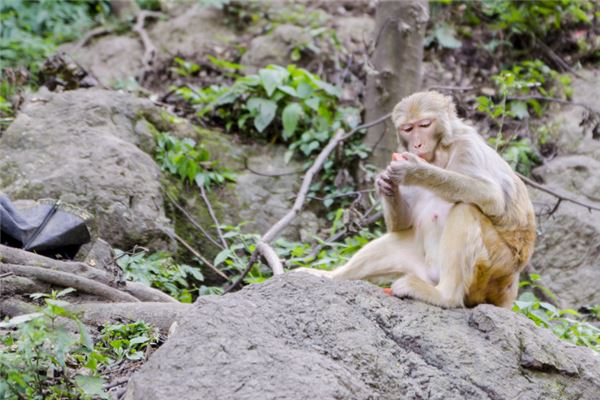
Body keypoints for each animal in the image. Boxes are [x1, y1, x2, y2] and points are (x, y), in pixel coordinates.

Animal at [298, 91, 536, 310]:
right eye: (408, 129)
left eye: (424, 125)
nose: (417, 144)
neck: (440, 155)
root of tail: (511, 288)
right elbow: (401, 225)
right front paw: (385, 185)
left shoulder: (467, 147)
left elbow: (491, 196)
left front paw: (416, 171)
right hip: (424, 270)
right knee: (399, 239)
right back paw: (329, 276)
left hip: (496, 269)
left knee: (466, 209)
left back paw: (444, 296)